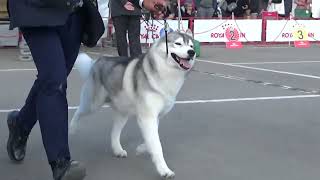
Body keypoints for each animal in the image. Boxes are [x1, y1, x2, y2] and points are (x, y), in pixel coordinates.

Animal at [69, 28, 196, 178]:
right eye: (178, 43)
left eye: (191, 46)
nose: (192, 52)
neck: (166, 73)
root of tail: (98, 61)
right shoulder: (147, 117)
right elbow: (157, 144)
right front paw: (164, 170)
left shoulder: (154, 117)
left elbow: (151, 139)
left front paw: (141, 148)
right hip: (93, 104)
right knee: (78, 112)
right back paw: (72, 128)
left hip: (123, 113)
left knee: (114, 132)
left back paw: (117, 149)